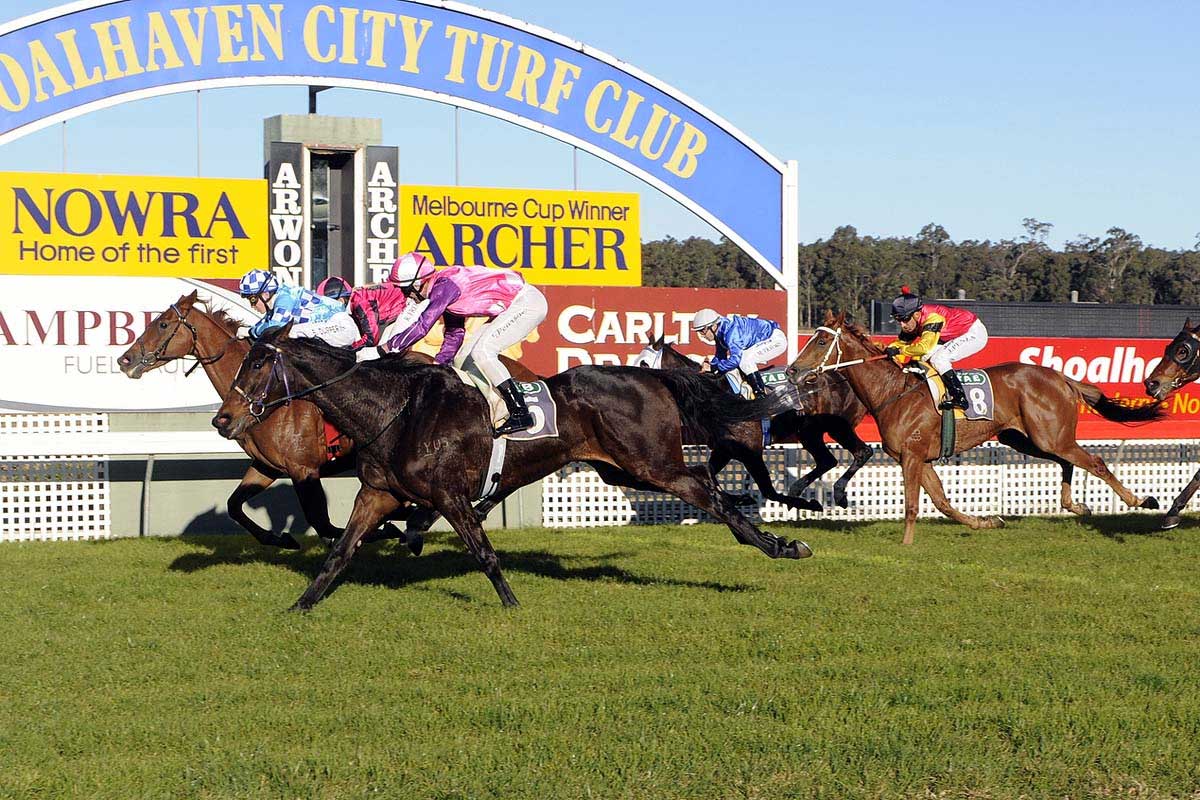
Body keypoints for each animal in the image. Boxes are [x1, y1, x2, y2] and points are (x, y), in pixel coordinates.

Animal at [213, 321, 816, 609]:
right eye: (243, 362)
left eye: (260, 365)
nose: (223, 419)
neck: (394, 409)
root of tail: (653, 375)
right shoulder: (376, 494)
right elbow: (339, 552)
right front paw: (301, 605)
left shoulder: (450, 494)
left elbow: (483, 552)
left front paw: (510, 604)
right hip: (621, 468)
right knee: (710, 486)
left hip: (652, 464)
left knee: (710, 493)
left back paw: (782, 544)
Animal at [638, 335, 873, 510]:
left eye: (643, 362)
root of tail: (846, 377)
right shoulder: (725, 449)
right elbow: (710, 475)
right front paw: (739, 498)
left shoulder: (750, 450)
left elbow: (768, 491)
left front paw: (809, 504)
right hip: (809, 432)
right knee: (827, 460)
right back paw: (799, 488)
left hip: (838, 426)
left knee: (863, 452)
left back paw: (838, 493)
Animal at [782, 311, 1156, 544]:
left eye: (819, 342)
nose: (791, 370)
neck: (893, 391)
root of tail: (1060, 377)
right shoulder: (920, 459)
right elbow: (943, 503)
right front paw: (986, 521)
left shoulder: (912, 456)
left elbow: (913, 505)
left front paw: (905, 544)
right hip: (1027, 439)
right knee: (1068, 462)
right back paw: (1076, 505)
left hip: (1050, 436)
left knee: (1095, 462)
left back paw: (1141, 499)